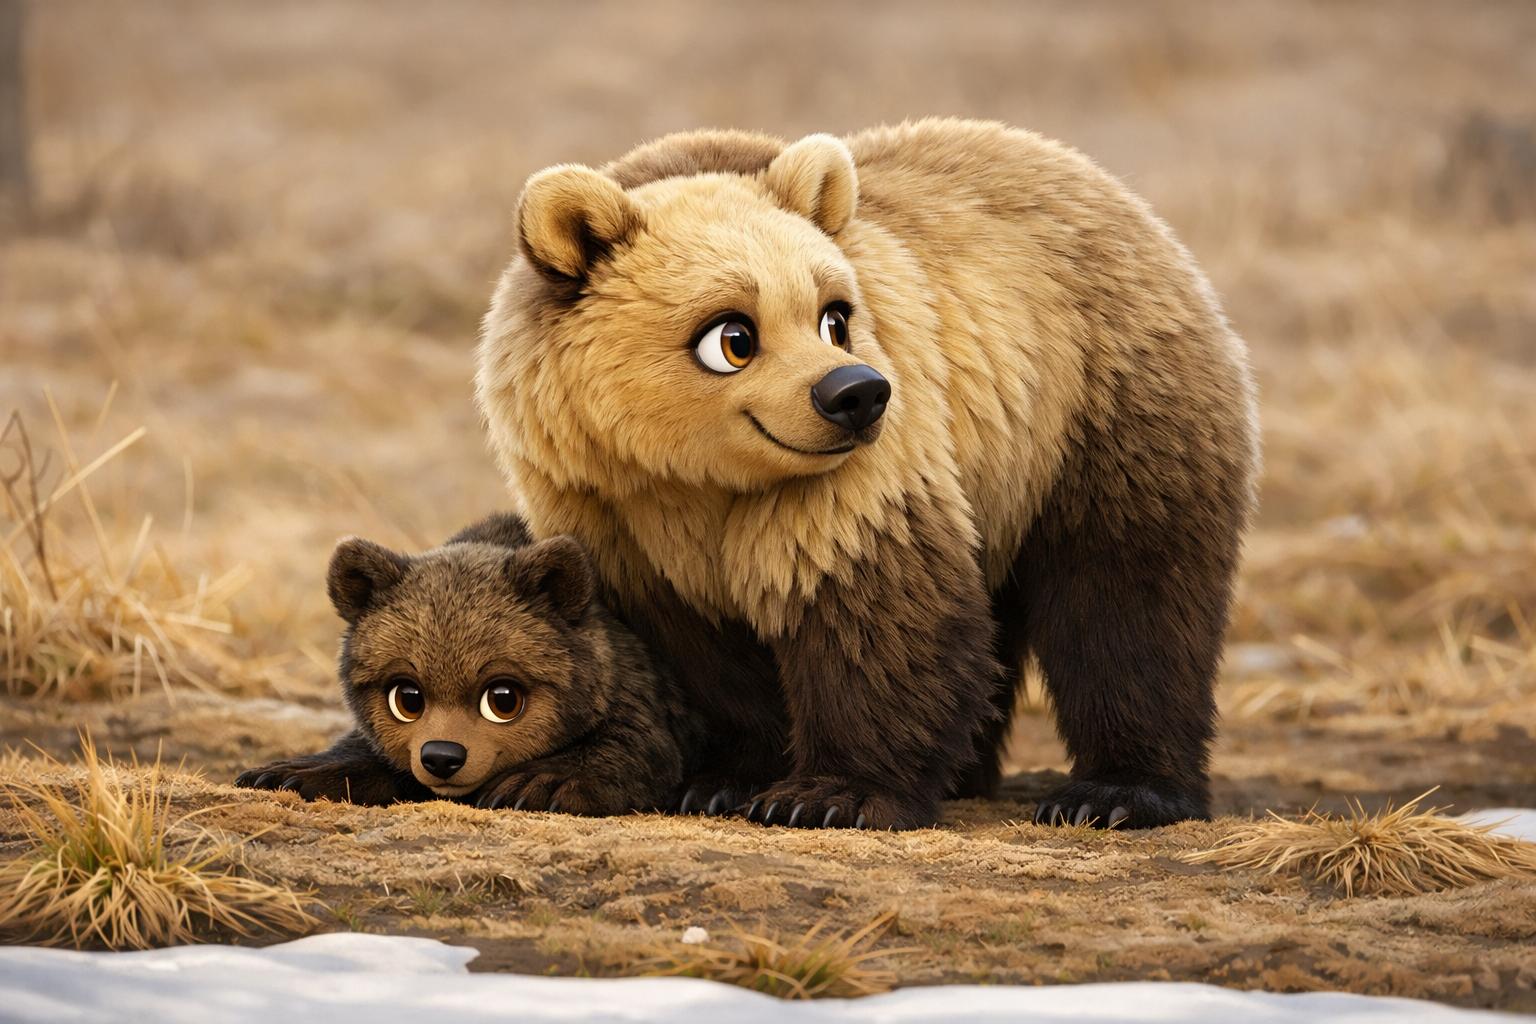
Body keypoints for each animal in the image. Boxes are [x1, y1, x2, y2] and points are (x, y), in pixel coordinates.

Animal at [235, 513, 698, 814]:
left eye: (503, 698)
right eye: (407, 697)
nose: (442, 756)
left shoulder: (638, 691)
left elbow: (635, 751)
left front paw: (540, 782)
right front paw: (290, 772)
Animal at [476, 118, 1258, 831]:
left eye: (835, 316)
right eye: (733, 335)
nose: (855, 393)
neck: (692, 476)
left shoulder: (853, 476)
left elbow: (873, 609)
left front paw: (829, 794)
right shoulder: (613, 513)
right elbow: (705, 656)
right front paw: (722, 779)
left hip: (1099, 410)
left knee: (1127, 597)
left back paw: (1116, 793)